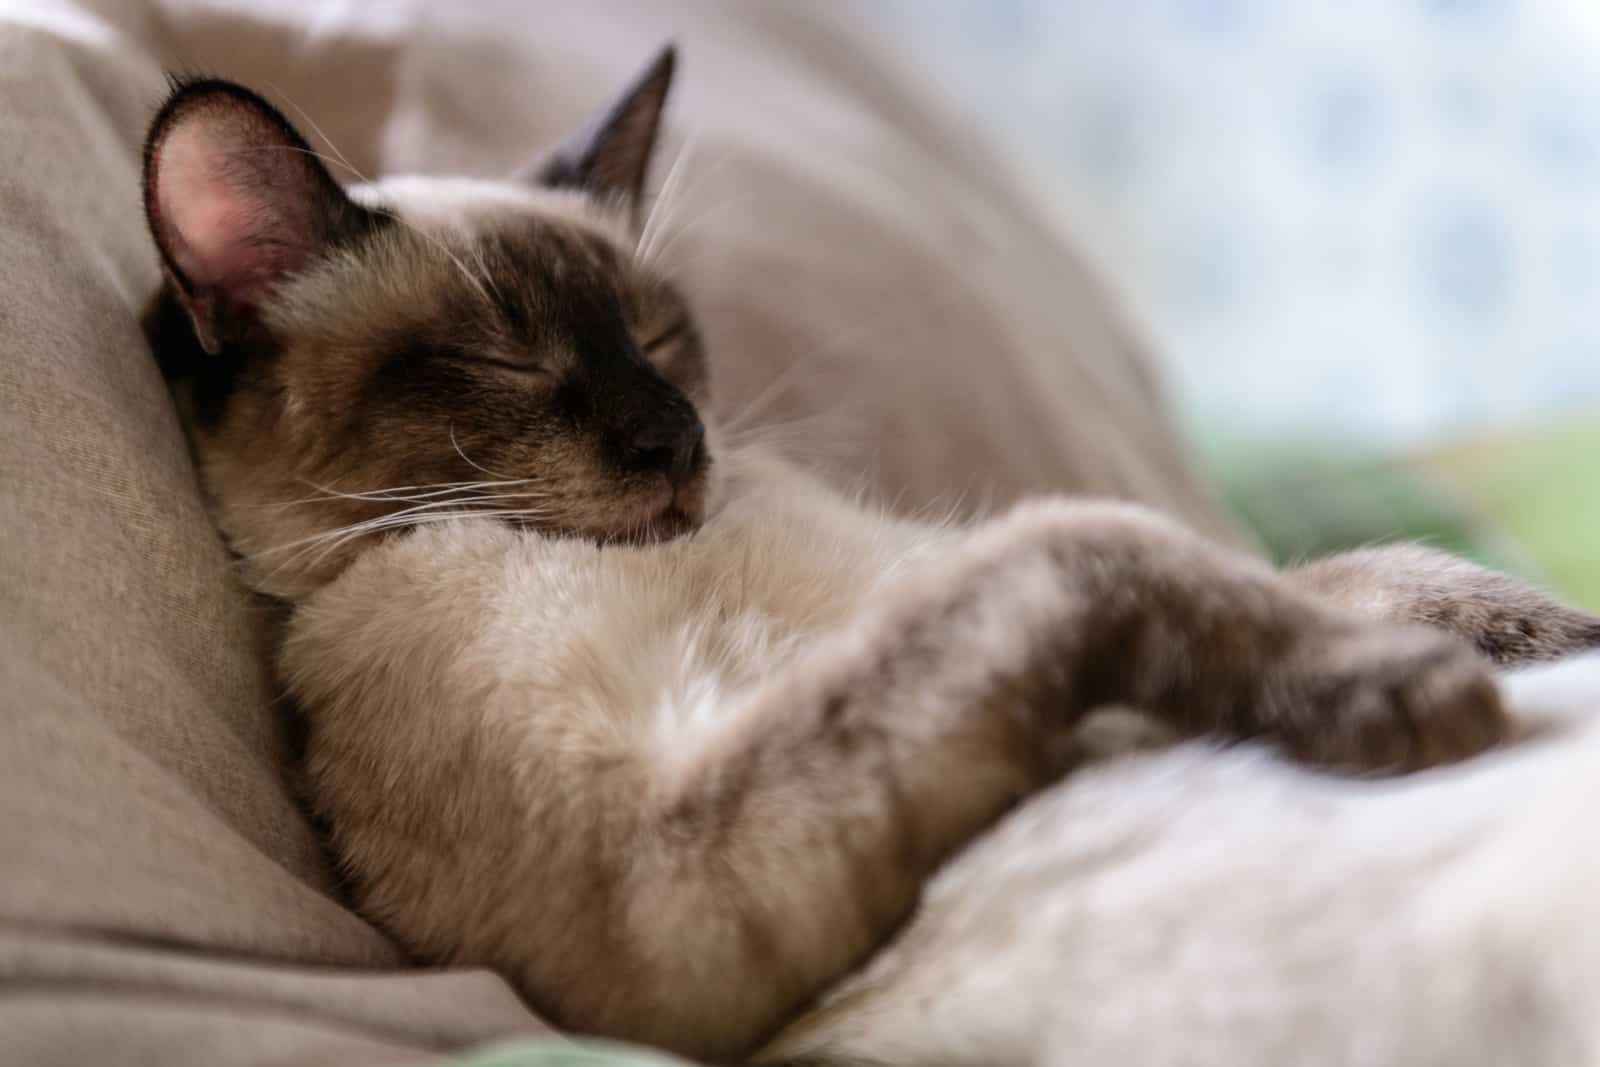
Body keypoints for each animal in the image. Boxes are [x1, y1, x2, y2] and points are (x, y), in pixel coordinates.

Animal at [144, 51, 1600, 1067]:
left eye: (659, 337)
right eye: (504, 362)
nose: (678, 437)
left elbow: (1334, 569)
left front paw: (1530, 633)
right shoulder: (670, 908)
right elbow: (1089, 539)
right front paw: (1413, 696)